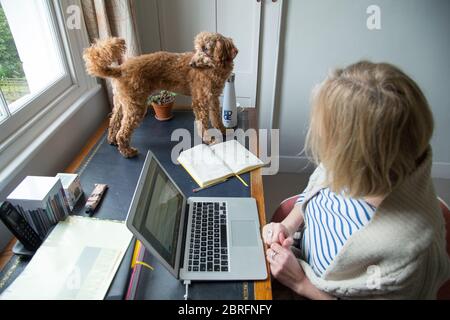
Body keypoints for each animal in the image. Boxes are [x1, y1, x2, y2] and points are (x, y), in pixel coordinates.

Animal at [84, 32, 239, 158]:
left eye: (205, 49)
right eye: (197, 48)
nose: (192, 64)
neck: (213, 68)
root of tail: (120, 70)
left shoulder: (213, 98)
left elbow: (216, 118)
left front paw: (223, 130)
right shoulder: (200, 101)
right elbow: (203, 123)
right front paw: (209, 139)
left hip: (122, 103)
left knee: (114, 121)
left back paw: (112, 140)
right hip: (136, 106)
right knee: (122, 133)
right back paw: (128, 152)